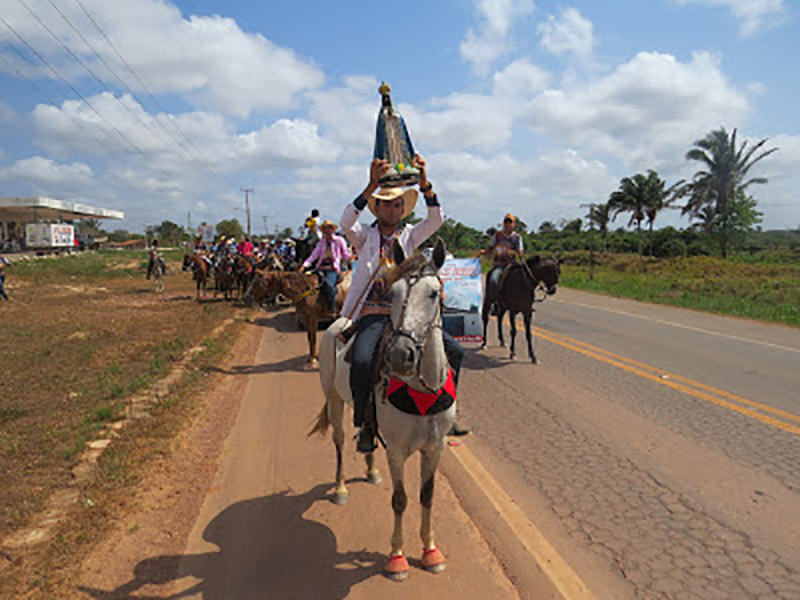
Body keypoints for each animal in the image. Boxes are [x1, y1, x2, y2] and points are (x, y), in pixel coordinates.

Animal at [310, 238, 454, 580]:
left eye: (434, 292)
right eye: (394, 292)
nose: (400, 355)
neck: (421, 388)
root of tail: (341, 320)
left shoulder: (436, 447)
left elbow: (427, 495)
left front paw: (430, 551)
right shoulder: (398, 450)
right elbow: (400, 499)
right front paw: (397, 557)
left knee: (368, 430)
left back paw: (371, 470)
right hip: (333, 398)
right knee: (338, 439)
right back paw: (340, 488)